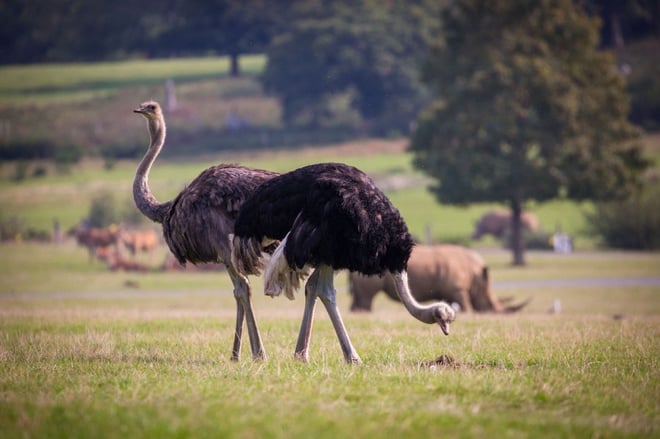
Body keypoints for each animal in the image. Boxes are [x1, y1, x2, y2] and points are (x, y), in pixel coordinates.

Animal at [349, 244, 528, 313]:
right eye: (490, 303)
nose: (494, 313)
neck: (476, 277)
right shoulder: (457, 289)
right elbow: (466, 306)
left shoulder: (450, 290)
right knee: (367, 297)